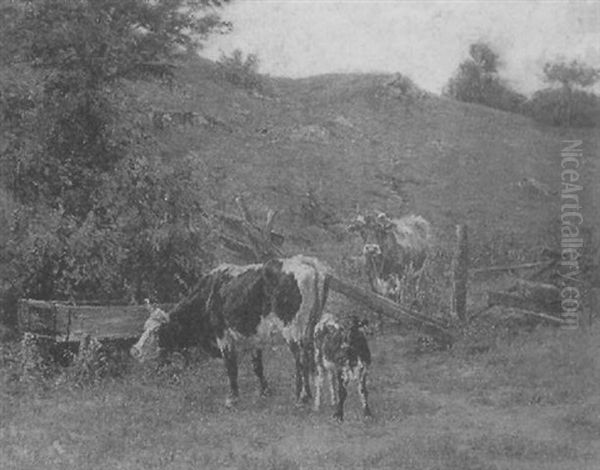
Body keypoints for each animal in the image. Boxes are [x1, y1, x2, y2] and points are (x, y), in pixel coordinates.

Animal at [129, 255, 330, 406]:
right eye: (144, 328)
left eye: (157, 332)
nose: (135, 350)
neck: (209, 296)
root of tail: (306, 262)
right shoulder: (253, 337)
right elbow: (257, 366)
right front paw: (264, 391)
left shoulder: (223, 336)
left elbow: (231, 366)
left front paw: (232, 398)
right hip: (310, 327)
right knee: (310, 356)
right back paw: (312, 393)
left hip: (292, 330)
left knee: (300, 358)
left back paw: (301, 397)